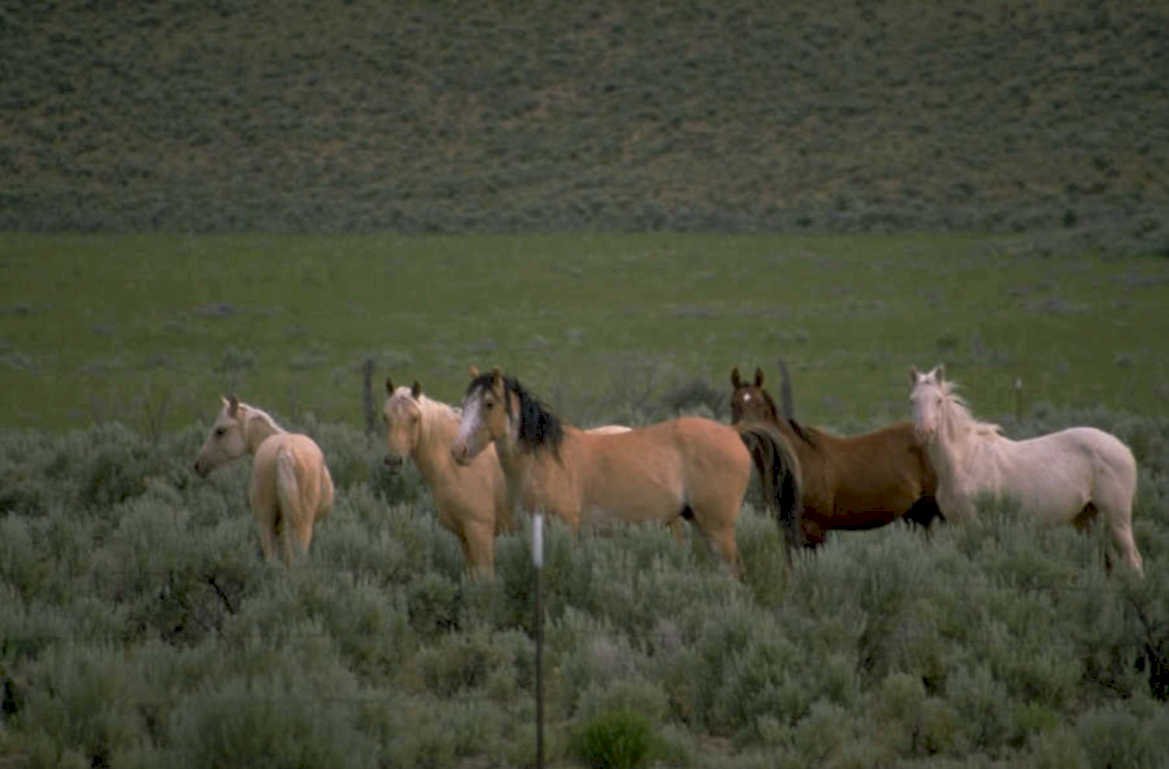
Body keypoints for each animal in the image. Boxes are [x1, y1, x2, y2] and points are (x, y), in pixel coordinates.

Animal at [383, 378, 633, 577]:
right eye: (386, 418)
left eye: (415, 418)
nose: (393, 461)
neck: (455, 467)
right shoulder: (463, 535)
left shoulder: (479, 531)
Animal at [450, 367, 803, 575]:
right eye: (465, 403)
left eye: (489, 404)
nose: (458, 450)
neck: (546, 459)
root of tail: (733, 432)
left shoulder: (566, 527)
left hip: (718, 526)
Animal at [731, 366, 942, 547]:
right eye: (733, 404)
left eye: (760, 404)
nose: (748, 436)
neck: (799, 462)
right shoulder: (787, 531)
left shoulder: (815, 531)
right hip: (916, 515)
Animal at [910, 365, 1143, 575]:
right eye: (912, 400)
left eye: (938, 400)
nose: (924, 432)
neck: (964, 461)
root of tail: (1124, 448)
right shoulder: (957, 524)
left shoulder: (974, 523)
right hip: (1087, 518)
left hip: (1117, 518)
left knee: (1133, 560)